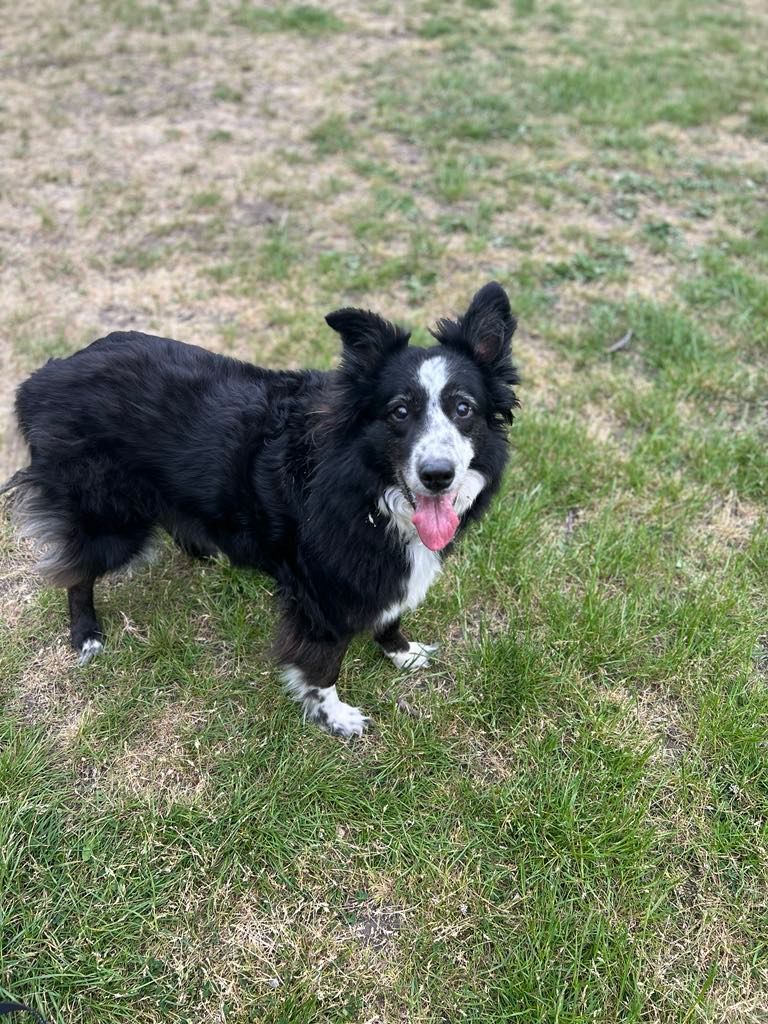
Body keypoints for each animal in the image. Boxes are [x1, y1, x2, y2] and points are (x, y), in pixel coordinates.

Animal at [2, 282, 519, 735]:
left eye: (464, 408)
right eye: (399, 411)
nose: (438, 475)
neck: (366, 486)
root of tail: (41, 379)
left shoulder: (377, 571)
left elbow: (390, 614)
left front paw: (401, 651)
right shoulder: (322, 591)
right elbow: (324, 662)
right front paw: (334, 717)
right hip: (109, 519)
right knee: (77, 572)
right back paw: (87, 634)